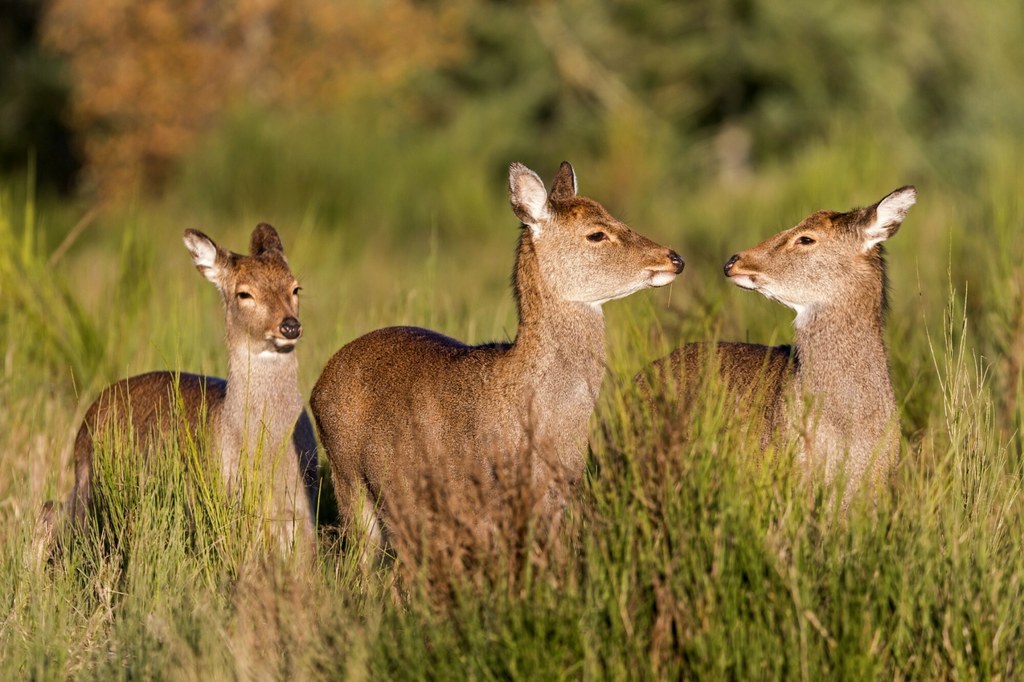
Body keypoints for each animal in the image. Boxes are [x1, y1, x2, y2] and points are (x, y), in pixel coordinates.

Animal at [49, 224, 317, 552]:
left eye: (295, 288)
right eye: (244, 293)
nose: (290, 326)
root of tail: (86, 419)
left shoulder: (304, 509)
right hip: (88, 487)